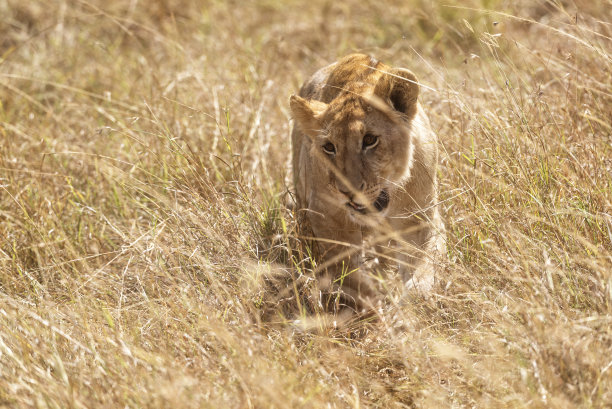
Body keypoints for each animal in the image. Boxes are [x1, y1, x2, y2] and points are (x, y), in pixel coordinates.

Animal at [290, 54, 442, 310]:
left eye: (370, 140)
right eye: (329, 147)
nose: (347, 191)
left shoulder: (419, 216)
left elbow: (422, 264)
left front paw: (412, 304)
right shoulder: (328, 219)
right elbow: (351, 276)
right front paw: (376, 308)